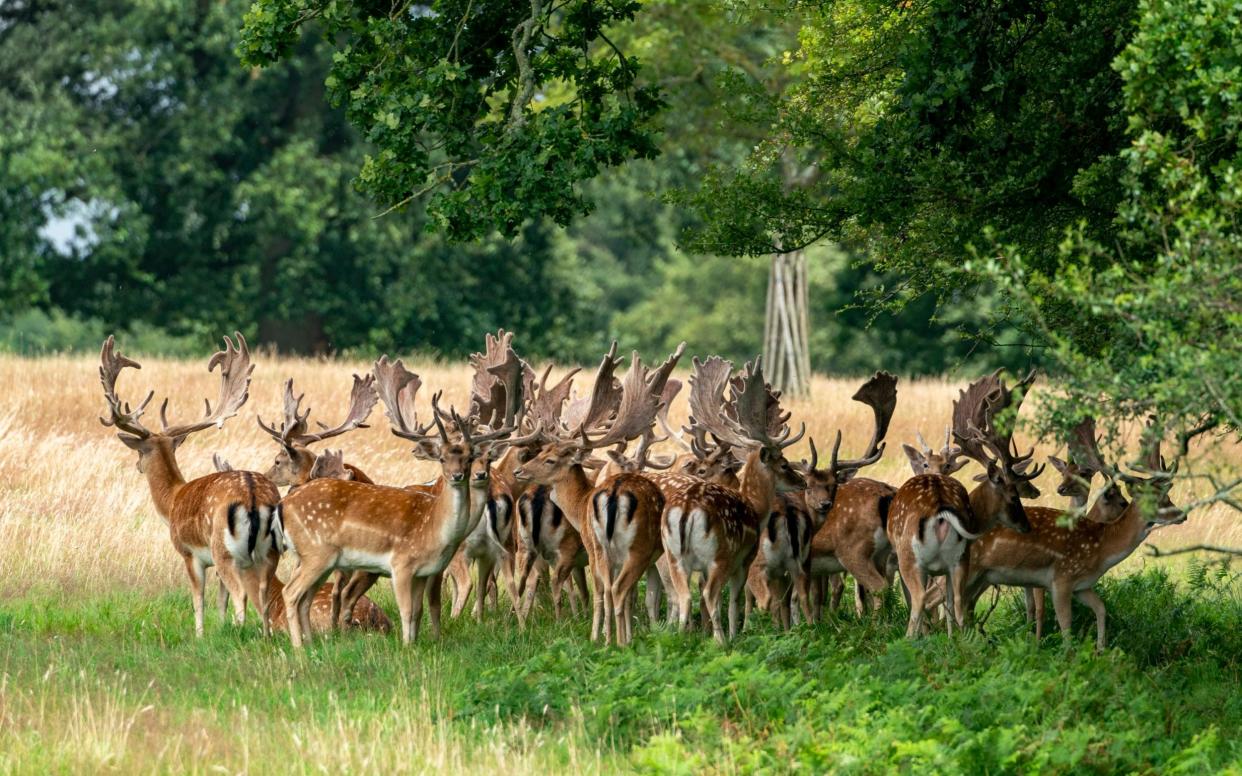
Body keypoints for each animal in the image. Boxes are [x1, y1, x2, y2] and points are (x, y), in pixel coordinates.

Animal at [99, 332, 279, 635]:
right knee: (269, 596)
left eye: (139, 452)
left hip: (224, 549)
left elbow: (199, 599)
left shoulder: (189, 553)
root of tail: (253, 497)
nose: (137, 465)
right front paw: (217, 629)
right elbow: (220, 600)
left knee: (242, 594)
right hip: (270, 552)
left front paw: (201, 635)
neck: (171, 500)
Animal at [276, 355, 514, 645]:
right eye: (442, 458)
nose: (460, 476)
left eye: (470, 458)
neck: (434, 528)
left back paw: (311, 643)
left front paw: (419, 642)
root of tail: (283, 505)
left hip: (320, 559)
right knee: (292, 592)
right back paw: (299, 646)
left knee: (306, 598)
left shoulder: (425, 571)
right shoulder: (401, 563)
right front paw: (407, 646)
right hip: (316, 553)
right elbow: (407, 610)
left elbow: (420, 609)